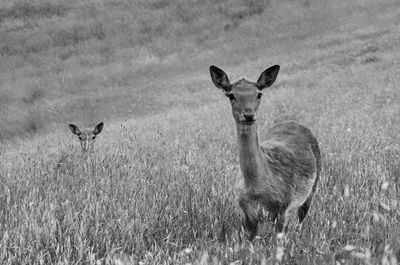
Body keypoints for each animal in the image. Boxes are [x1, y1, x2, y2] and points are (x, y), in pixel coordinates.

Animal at [209, 64, 322, 239]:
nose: (249, 115)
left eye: (259, 94)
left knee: (302, 216)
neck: (256, 188)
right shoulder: (247, 214)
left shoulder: (283, 207)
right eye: (231, 95)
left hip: (314, 185)